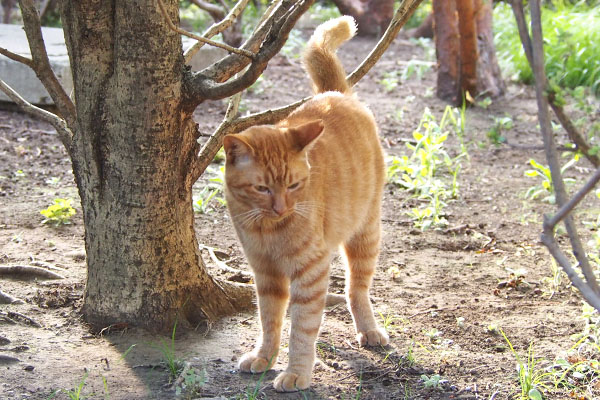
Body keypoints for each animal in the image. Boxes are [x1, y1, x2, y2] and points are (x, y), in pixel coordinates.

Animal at [224, 16, 390, 394]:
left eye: (294, 185)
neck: (266, 228)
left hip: (365, 233)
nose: (281, 208)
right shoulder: (266, 274)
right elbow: (269, 320)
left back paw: (369, 329)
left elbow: (301, 328)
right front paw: (265, 356)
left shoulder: (310, 272)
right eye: (262, 188)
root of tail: (334, 93)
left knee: (356, 288)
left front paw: (296, 372)